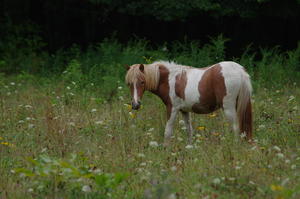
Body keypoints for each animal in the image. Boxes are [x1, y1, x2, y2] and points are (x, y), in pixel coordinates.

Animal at [125, 59, 253, 145]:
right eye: (129, 84)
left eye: (142, 82)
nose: (135, 105)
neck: (168, 80)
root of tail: (239, 70)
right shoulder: (184, 111)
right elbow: (189, 130)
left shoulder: (172, 109)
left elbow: (168, 131)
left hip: (228, 108)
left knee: (236, 128)